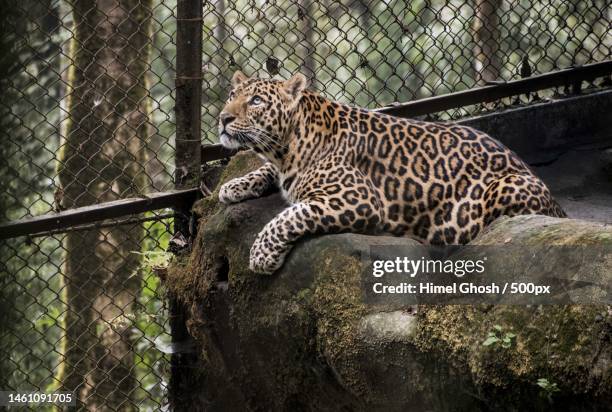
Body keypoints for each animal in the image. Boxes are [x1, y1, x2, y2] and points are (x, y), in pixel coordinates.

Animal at [218, 71, 568, 274]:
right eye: (231, 96)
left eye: (256, 101)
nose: (222, 118)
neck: (289, 145)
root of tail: (559, 207)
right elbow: (265, 172)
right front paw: (233, 186)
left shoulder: (356, 198)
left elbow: (290, 215)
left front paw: (262, 255)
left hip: (506, 188)